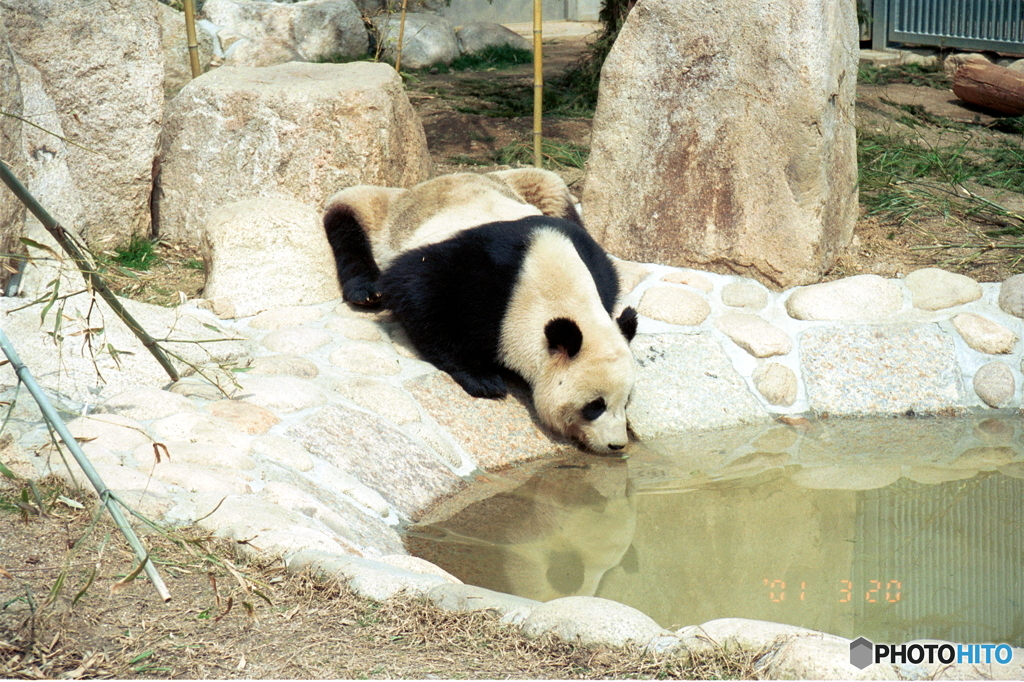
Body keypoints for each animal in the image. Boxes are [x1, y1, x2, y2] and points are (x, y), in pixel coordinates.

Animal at [323, 168, 634, 454]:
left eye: (626, 401)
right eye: (594, 405)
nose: (616, 444)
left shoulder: (594, 266)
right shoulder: (477, 269)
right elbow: (415, 291)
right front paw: (484, 379)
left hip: (534, 185)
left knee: (554, 191)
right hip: (388, 218)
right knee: (348, 211)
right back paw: (365, 290)